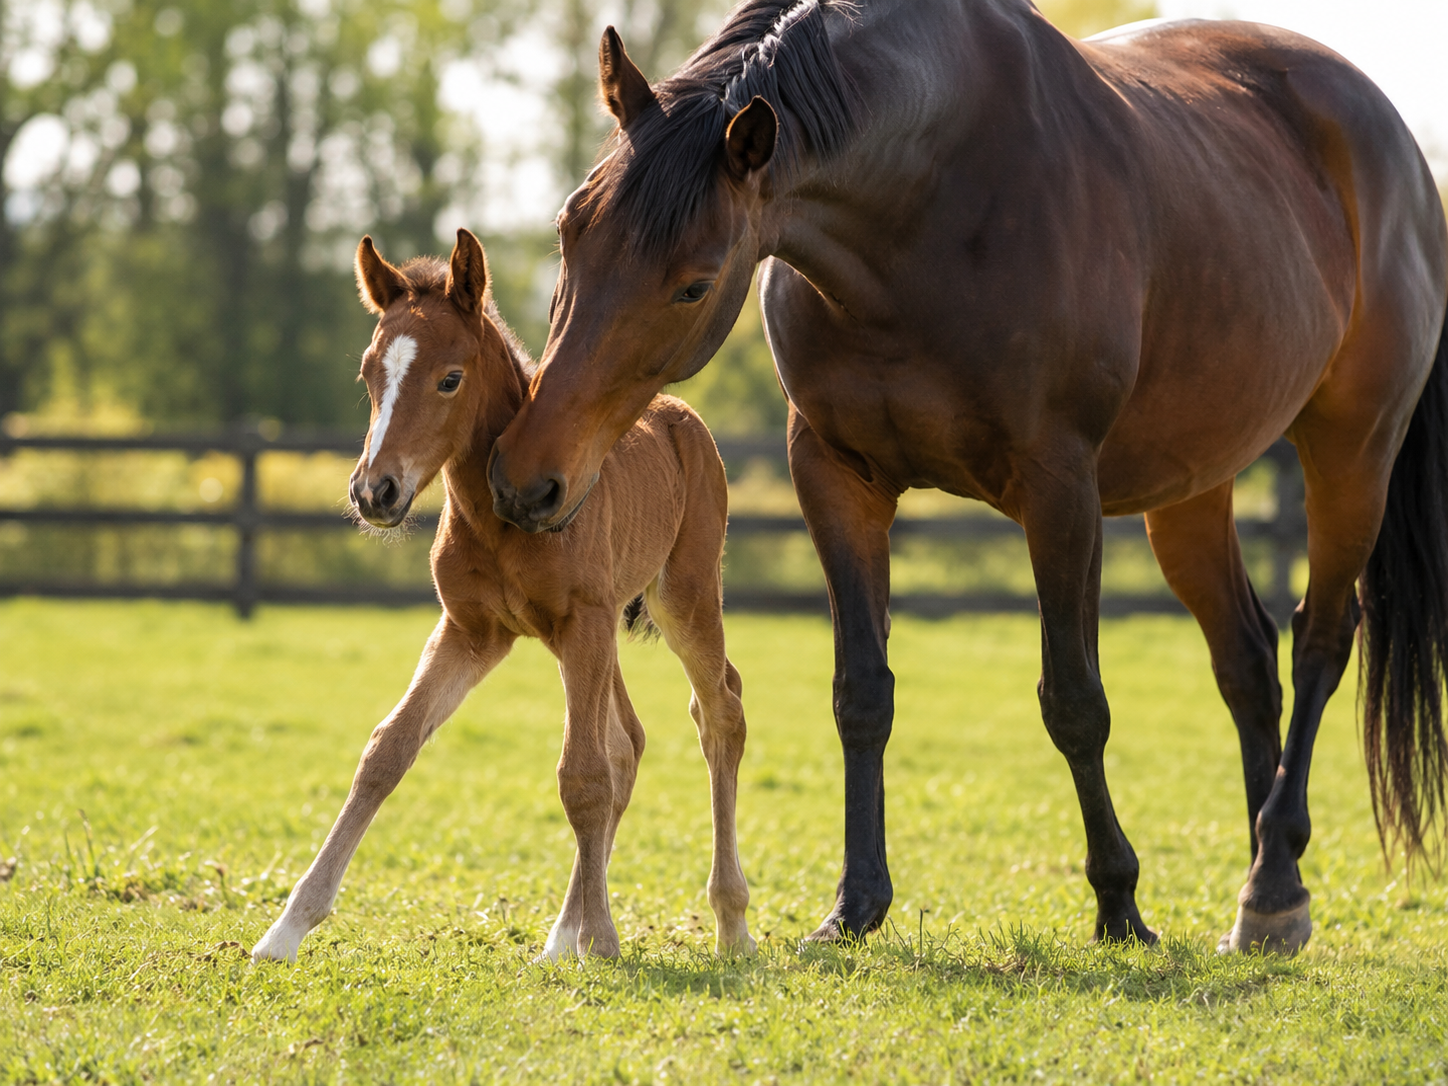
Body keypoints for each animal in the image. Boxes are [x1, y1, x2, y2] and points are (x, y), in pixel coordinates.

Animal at [251, 229, 756, 963]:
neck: (498, 514)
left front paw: (604, 940)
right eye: (369, 374)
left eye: (450, 378)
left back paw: (730, 922)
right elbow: (388, 749)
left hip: (681, 599)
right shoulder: (471, 630)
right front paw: (285, 930)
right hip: (593, 635)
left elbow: (583, 777)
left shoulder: (581, 622)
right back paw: (562, 936)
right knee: (628, 741)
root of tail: (679, 414)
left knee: (718, 715)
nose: (374, 492)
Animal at [484, 0, 1448, 954]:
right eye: (570, 230)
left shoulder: (1059, 489)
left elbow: (1075, 701)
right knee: (1247, 660)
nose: (528, 478)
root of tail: (1393, 141)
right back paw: (1267, 895)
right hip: (1191, 485)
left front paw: (1119, 903)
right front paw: (855, 906)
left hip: (1352, 450)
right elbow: (862, 694)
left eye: (694, 284)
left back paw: (1272, 881)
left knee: (1321, 638)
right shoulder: (833, 476)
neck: (930, 206)